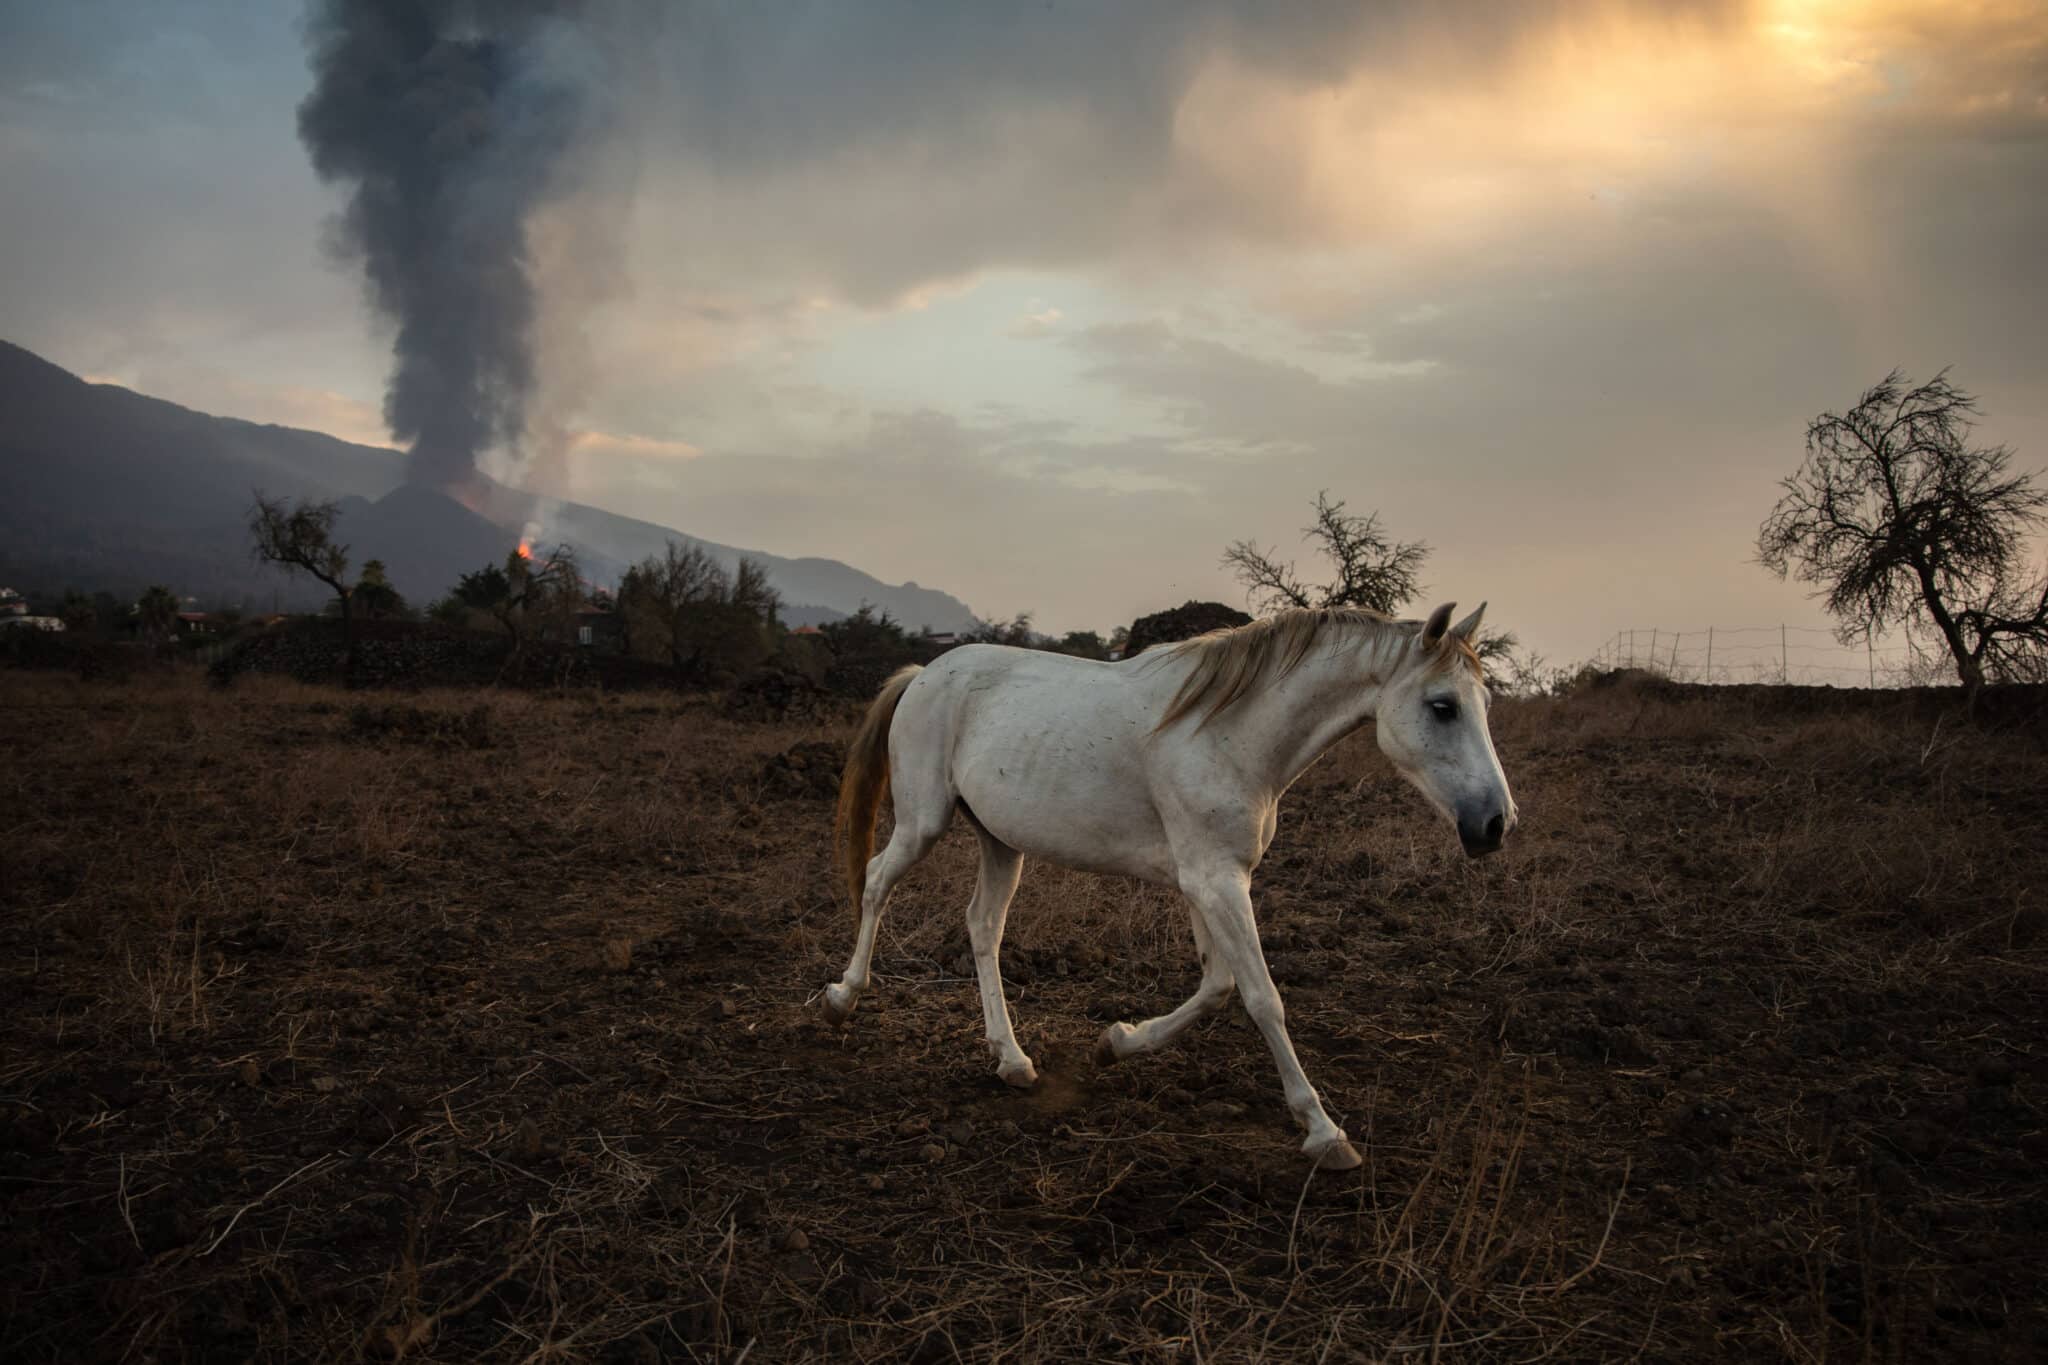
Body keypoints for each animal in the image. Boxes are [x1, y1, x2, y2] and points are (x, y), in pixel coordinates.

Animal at [823, 601, 1515, 1170]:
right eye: (1442, 706)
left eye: (1485, 704)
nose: (1496, 824)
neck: (1228, 734)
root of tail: (923, 674)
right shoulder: (1215, 882)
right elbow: (1262, 998)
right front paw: (1323, 1133)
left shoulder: (1209, 880)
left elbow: (1216, 987)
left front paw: (1117, 1043)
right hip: (924, 821)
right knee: (877, 883)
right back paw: (841, 998)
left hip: (1000, 841)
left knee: (982, 926)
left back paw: (1012, 1060)